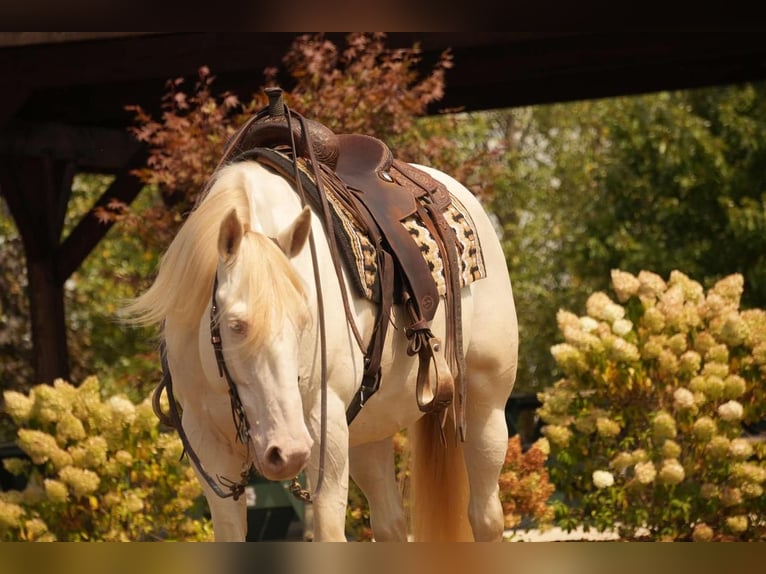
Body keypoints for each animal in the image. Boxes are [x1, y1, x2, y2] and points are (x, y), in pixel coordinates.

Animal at [124, 160, 520, 544]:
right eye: (236, 324)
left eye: (305, 319)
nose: (288, 451)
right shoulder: (207, 443)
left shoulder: (324, 428)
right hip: (369, 432)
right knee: (389, 525)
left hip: (485, 409)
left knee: (485, 518)